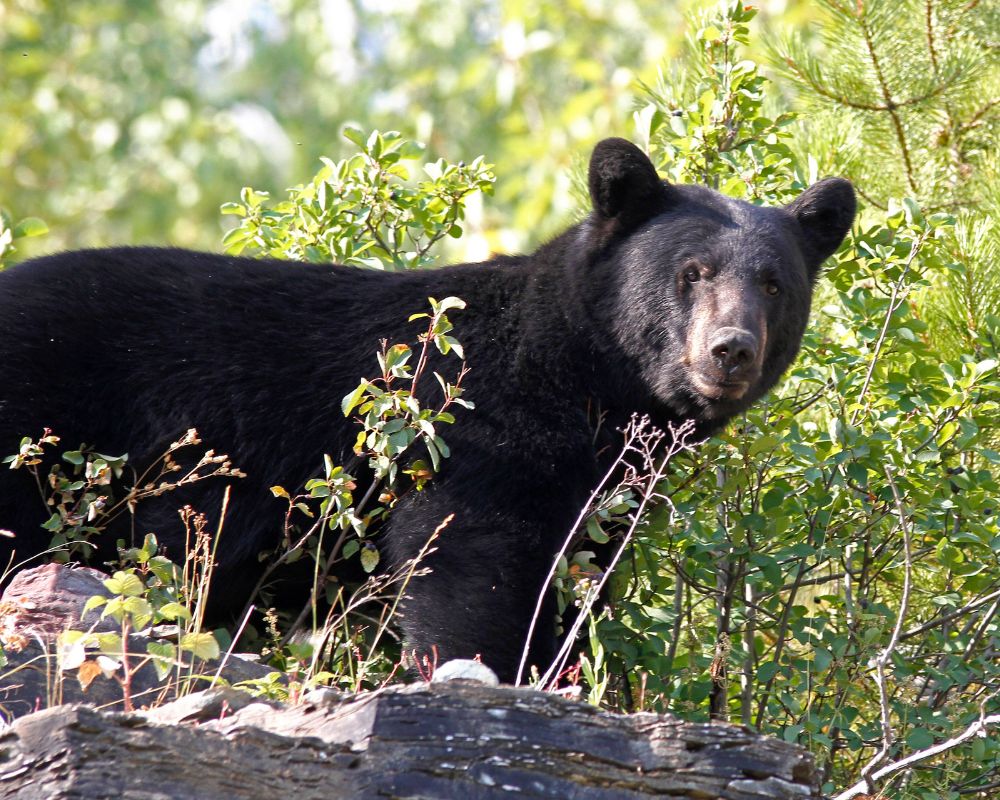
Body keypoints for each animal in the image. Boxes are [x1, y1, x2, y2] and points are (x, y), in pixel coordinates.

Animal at [0, 138, 852, 680]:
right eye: (691, 271)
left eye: (774, 282)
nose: (730, 350)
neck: (576, 375)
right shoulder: (473, 435)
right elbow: (466, 561)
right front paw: (487, 672)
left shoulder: (600, 494)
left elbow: (576, 581)